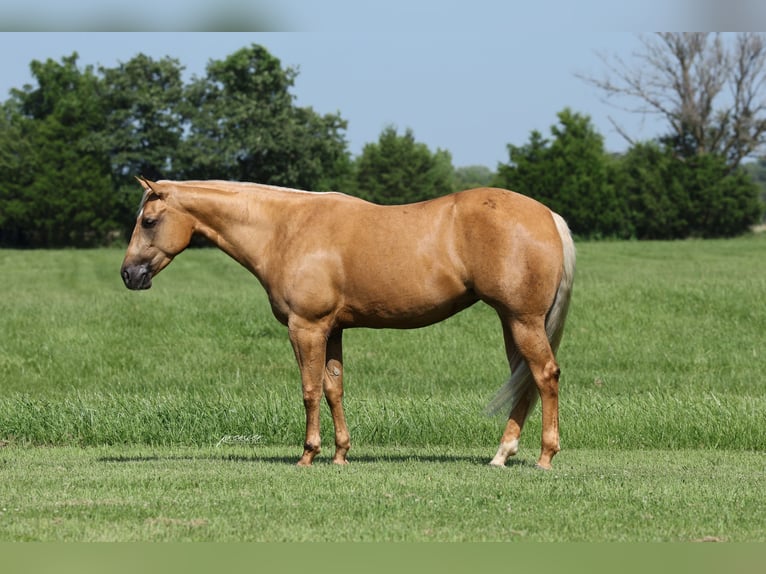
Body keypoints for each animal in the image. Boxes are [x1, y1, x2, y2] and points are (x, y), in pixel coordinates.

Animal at [121, 178, 575, 469]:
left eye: (148, 221)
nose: (129, 275)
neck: (286, 228)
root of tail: (548, 215)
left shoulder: (306, 327)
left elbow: (308, 390)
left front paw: (308, 454)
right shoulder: (332, 329)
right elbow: (333, 388)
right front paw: (341, 454)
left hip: (522, 320)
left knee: (544, 375)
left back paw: (544, 457)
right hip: (512, 322)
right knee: (525, 382)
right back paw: (502, 455)